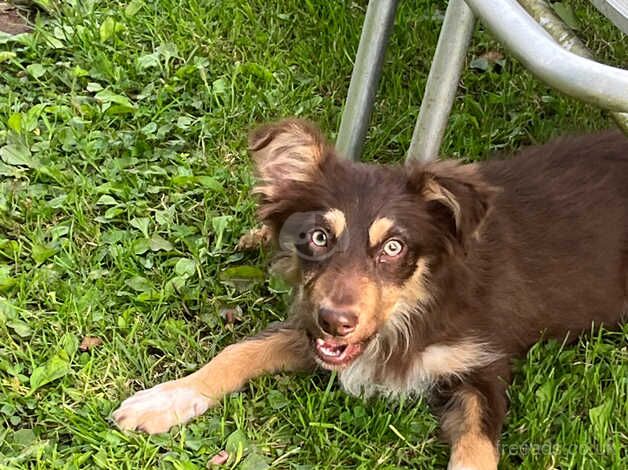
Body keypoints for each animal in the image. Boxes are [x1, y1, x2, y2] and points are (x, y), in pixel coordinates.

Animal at [113, 119, 628, 468]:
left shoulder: (484, 365)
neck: (420, 302)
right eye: (319, 237)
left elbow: (477, 445)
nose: (336, 322)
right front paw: (165, 398)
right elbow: (239, 351)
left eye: (394, 247)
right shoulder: (318, 327)